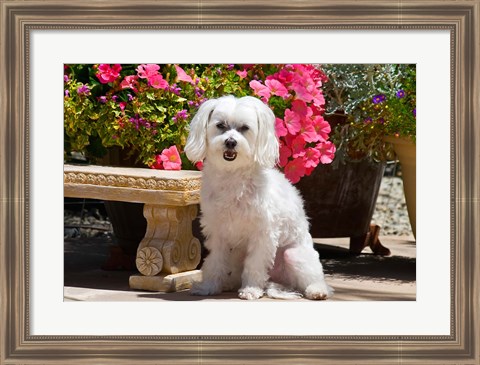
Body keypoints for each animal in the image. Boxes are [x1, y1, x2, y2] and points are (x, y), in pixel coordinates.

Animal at [185, 95, 334, 300]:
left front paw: (251, 289)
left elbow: (254, 264)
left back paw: (317, 290)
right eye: (221, 125)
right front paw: (209, 286)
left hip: (294, 255)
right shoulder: (218, 232)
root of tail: (279, 281)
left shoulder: (263, 233)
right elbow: (214, 261)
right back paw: (230, 283)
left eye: (244, 128)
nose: (230, 142)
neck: (233, 175)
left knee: (314, 278)